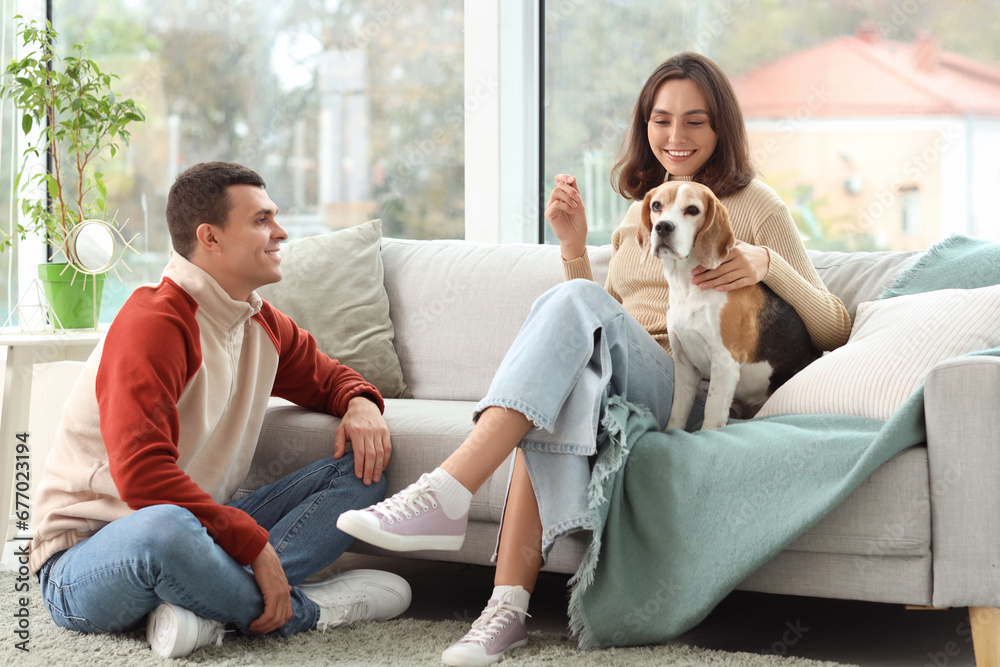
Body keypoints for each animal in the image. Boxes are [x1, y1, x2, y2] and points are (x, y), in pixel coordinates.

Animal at [636, 181, 816, 434]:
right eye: (656, 206)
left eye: (693, 210)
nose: (663, 227)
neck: (687, 287)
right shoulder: (684, 365)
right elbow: (677, 413)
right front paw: (672, 434)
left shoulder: (725, 362)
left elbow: (711, 413)